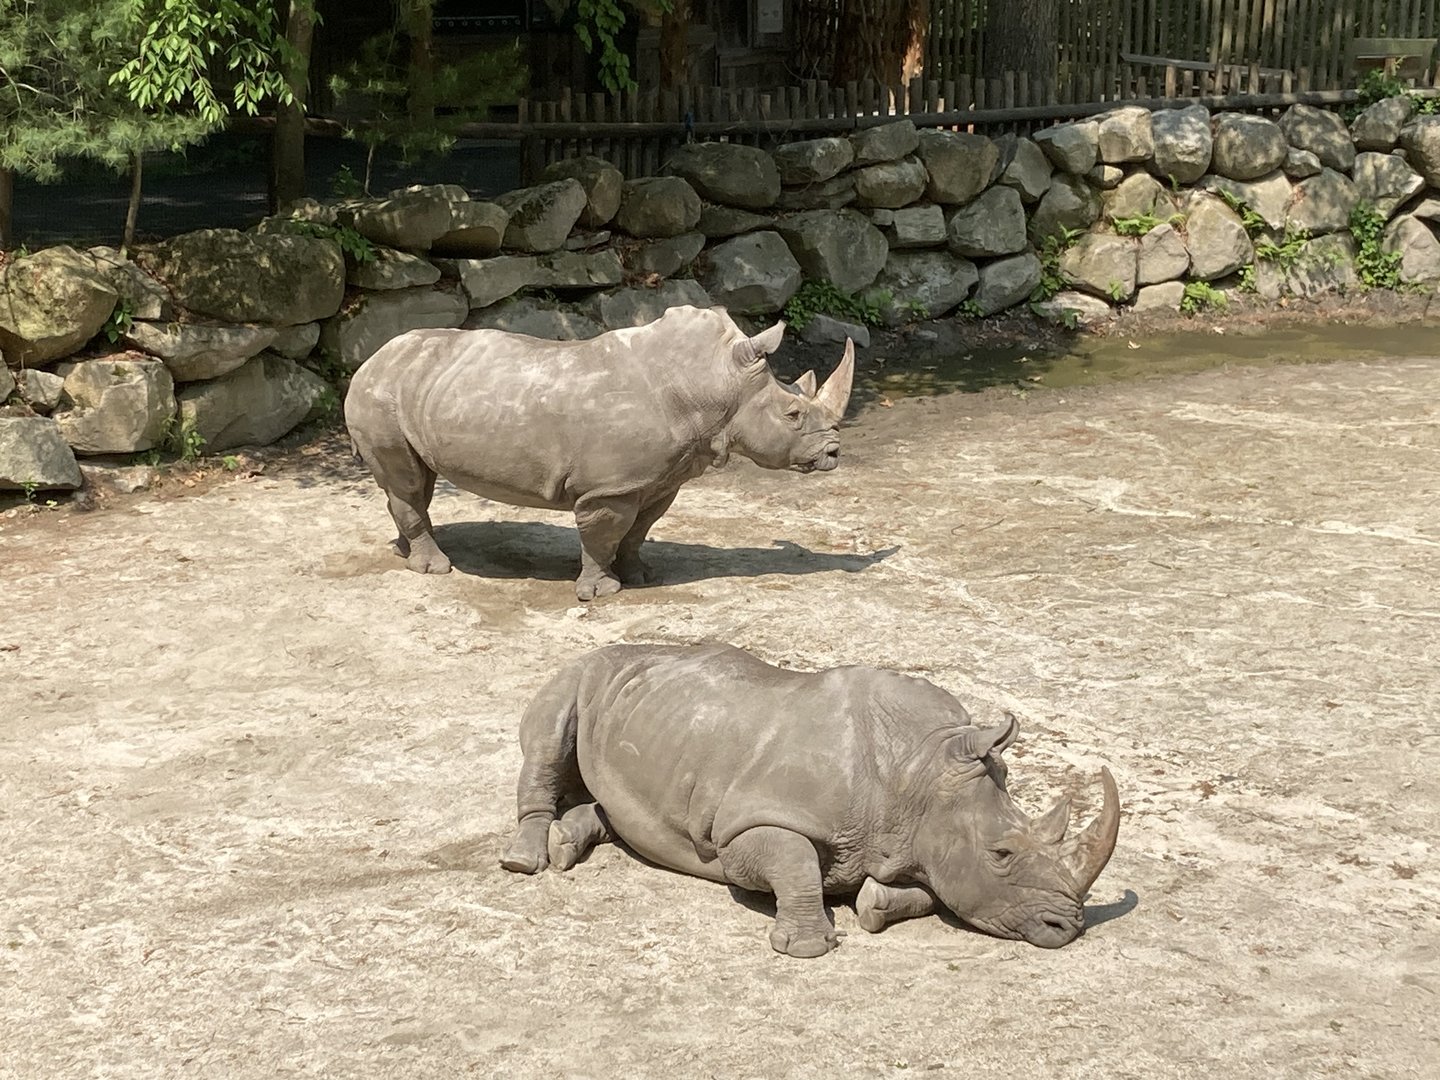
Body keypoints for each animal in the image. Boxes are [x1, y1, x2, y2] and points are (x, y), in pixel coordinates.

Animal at [344, 306, 854, 600]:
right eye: (792, 414)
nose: (833, 452)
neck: (715, 382)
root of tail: (370, 358)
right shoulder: (609, 488)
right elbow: (603, 534)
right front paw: (600, 592)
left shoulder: (659, 478)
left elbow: (638, 531)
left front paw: (642, 577)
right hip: (379, 395)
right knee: (408, 484)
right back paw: (435, 568)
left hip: (417, 387)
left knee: (416, 482)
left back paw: (407, 550)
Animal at [501, 643, 1122, 957]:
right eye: (1001, 854)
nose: (1068, 927)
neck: (917, 773)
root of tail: (605, 646)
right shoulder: (743, 826)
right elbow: (794, 860)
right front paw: (806, 948)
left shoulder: (915, 839)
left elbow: (929, 888)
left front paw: (873, 902)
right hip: (581, 671)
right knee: (549, 738)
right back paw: (525, 861)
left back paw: (567, 843)